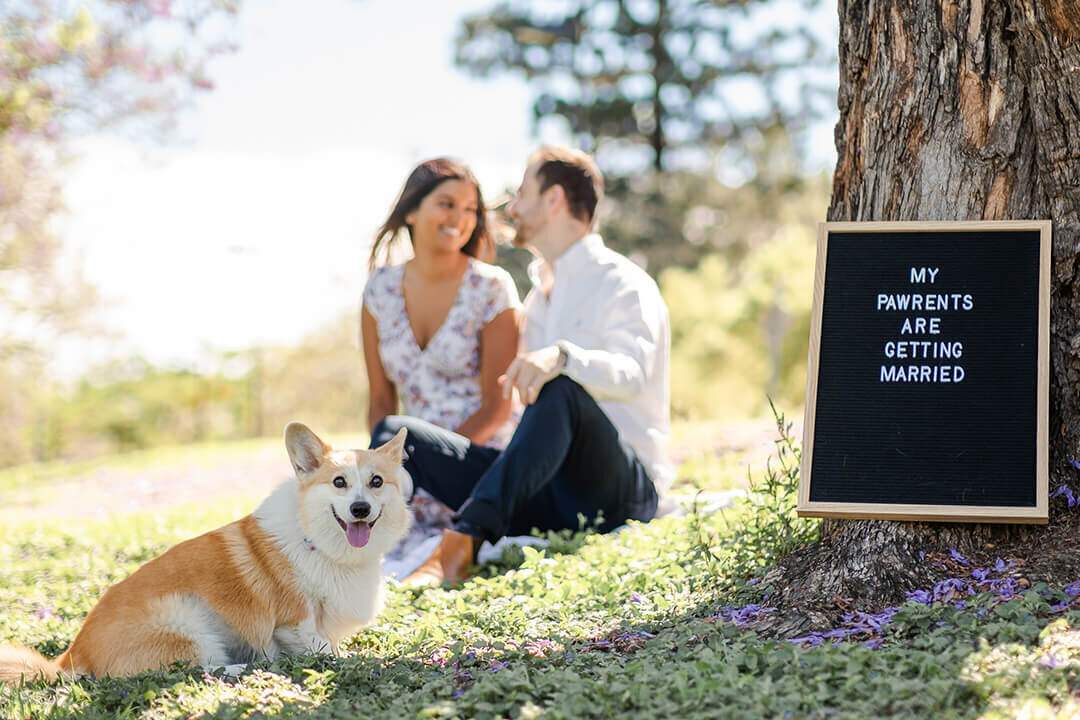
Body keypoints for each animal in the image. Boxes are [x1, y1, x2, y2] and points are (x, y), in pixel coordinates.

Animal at [0, 423, 410, 686]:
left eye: (376, 482)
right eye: (339, 483)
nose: (359, 509)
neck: (321, 541)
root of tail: (71, 657)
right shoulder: (296, 624)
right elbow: (327, 652)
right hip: (185, 619)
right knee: (198, 669)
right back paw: (254, 670)